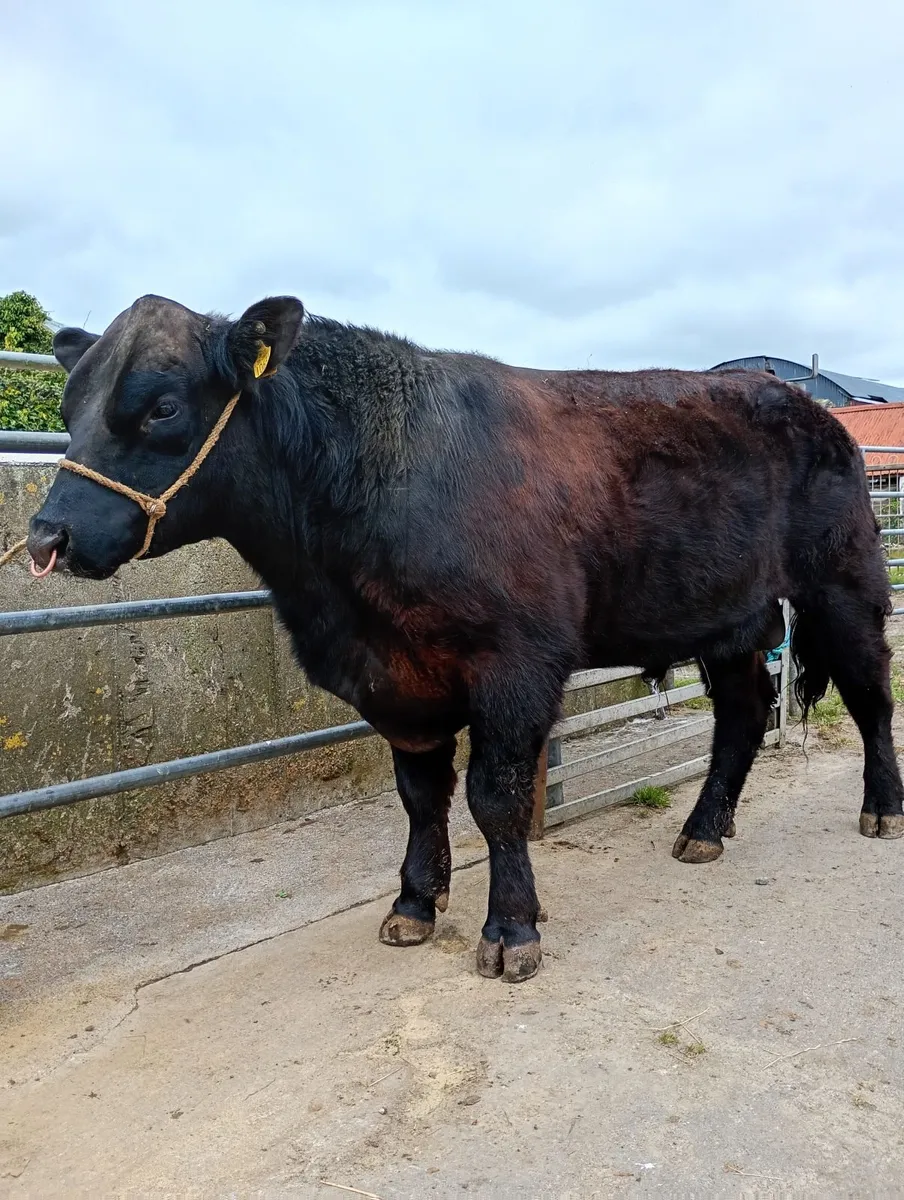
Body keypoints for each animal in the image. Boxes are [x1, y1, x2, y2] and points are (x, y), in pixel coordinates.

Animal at [27, 294, 904, 983]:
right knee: (744, 714)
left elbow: (495, 798)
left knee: (870, 697)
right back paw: (702, 830)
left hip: (844, 585)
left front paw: (511, 930)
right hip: (727, 617)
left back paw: (882, 810)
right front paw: (414, 902)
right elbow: (421, 797)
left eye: (162, 406)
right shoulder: (395, 682)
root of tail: (801, 401)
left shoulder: (514, 666)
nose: (46, 536)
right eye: (69, 412)